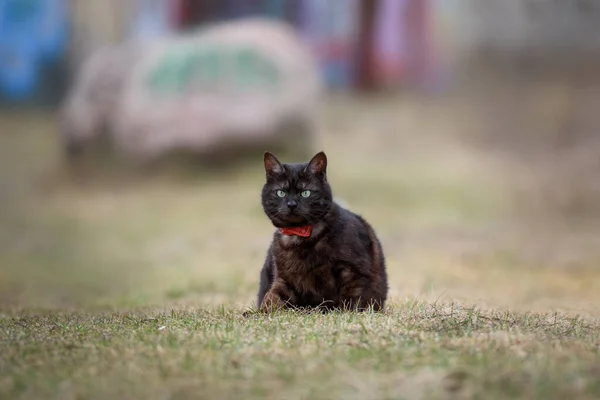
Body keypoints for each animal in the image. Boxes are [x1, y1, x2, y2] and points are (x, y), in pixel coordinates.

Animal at [254, 152, 386, 310]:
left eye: (305, 193)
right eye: (281, 193)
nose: (291, 204)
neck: (299, 235)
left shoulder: (352, 270)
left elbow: (351, 297)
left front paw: (346, 313)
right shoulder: (284, 278)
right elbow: (272, 298)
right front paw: (256, 313)